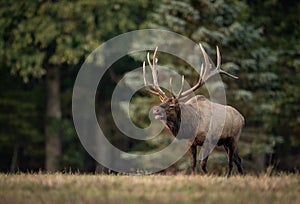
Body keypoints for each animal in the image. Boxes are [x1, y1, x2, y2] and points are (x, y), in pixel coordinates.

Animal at [142, 43, 244, 176]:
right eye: (162, 102)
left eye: (171, 106)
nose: (155, 110)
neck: (191, 126)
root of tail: (242, 118)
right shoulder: (190, 142)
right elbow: (193, 163)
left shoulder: (209, 140)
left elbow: (203, 163)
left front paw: (207, 176)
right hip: (226, 142)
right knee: (238, 160)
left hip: (234, 139)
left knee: (230, 162)